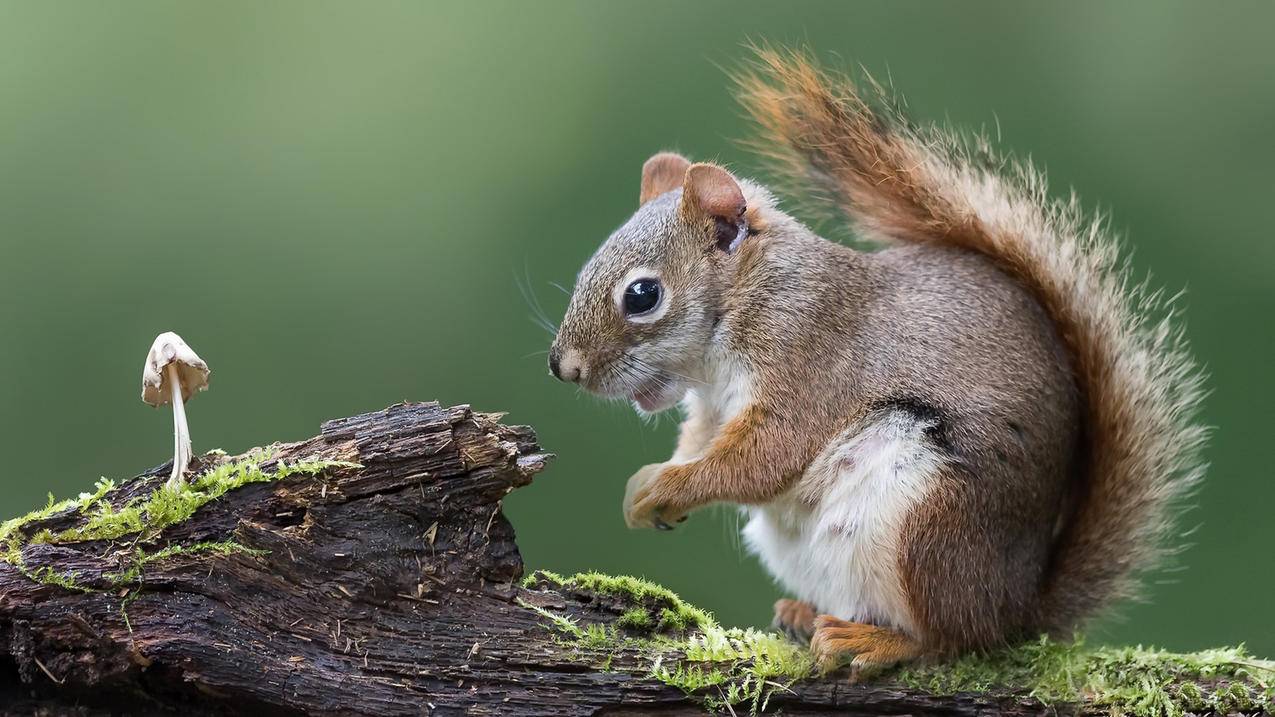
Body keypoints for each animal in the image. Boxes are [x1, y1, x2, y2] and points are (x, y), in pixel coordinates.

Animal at [543, 47, 1198, 673]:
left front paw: (665, 486)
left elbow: (763, 459)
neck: (747, 301)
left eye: (642, 295)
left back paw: (876, 641)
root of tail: (1018, 606)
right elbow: (702, 444)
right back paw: (806, 614)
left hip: (928, 520)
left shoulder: (808, 359)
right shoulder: (711, 408)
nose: (563, 368)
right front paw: (648, 488)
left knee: (952, 641)